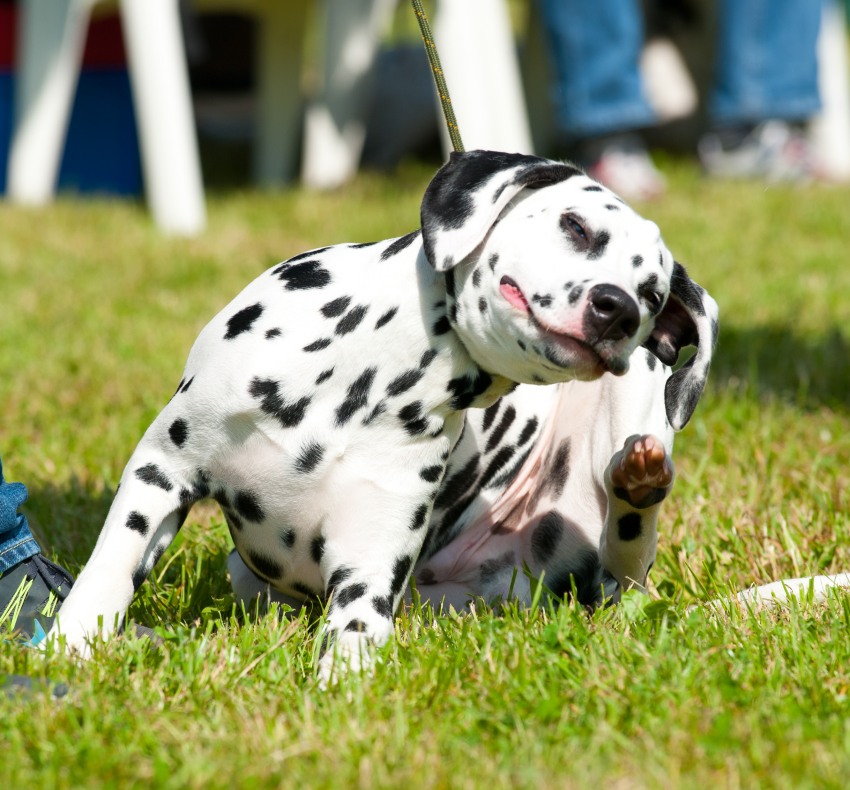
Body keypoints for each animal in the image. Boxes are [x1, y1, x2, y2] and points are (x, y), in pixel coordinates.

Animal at [51, 150, 716, 680]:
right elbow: (109, 569)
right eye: (576, 226)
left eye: (654, 294)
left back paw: (638, 479)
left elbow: (352, 643)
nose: (619, 309)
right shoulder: (161, 472)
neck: (364, 383)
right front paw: (69, 645)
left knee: (628, 556)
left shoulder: (367, 575)